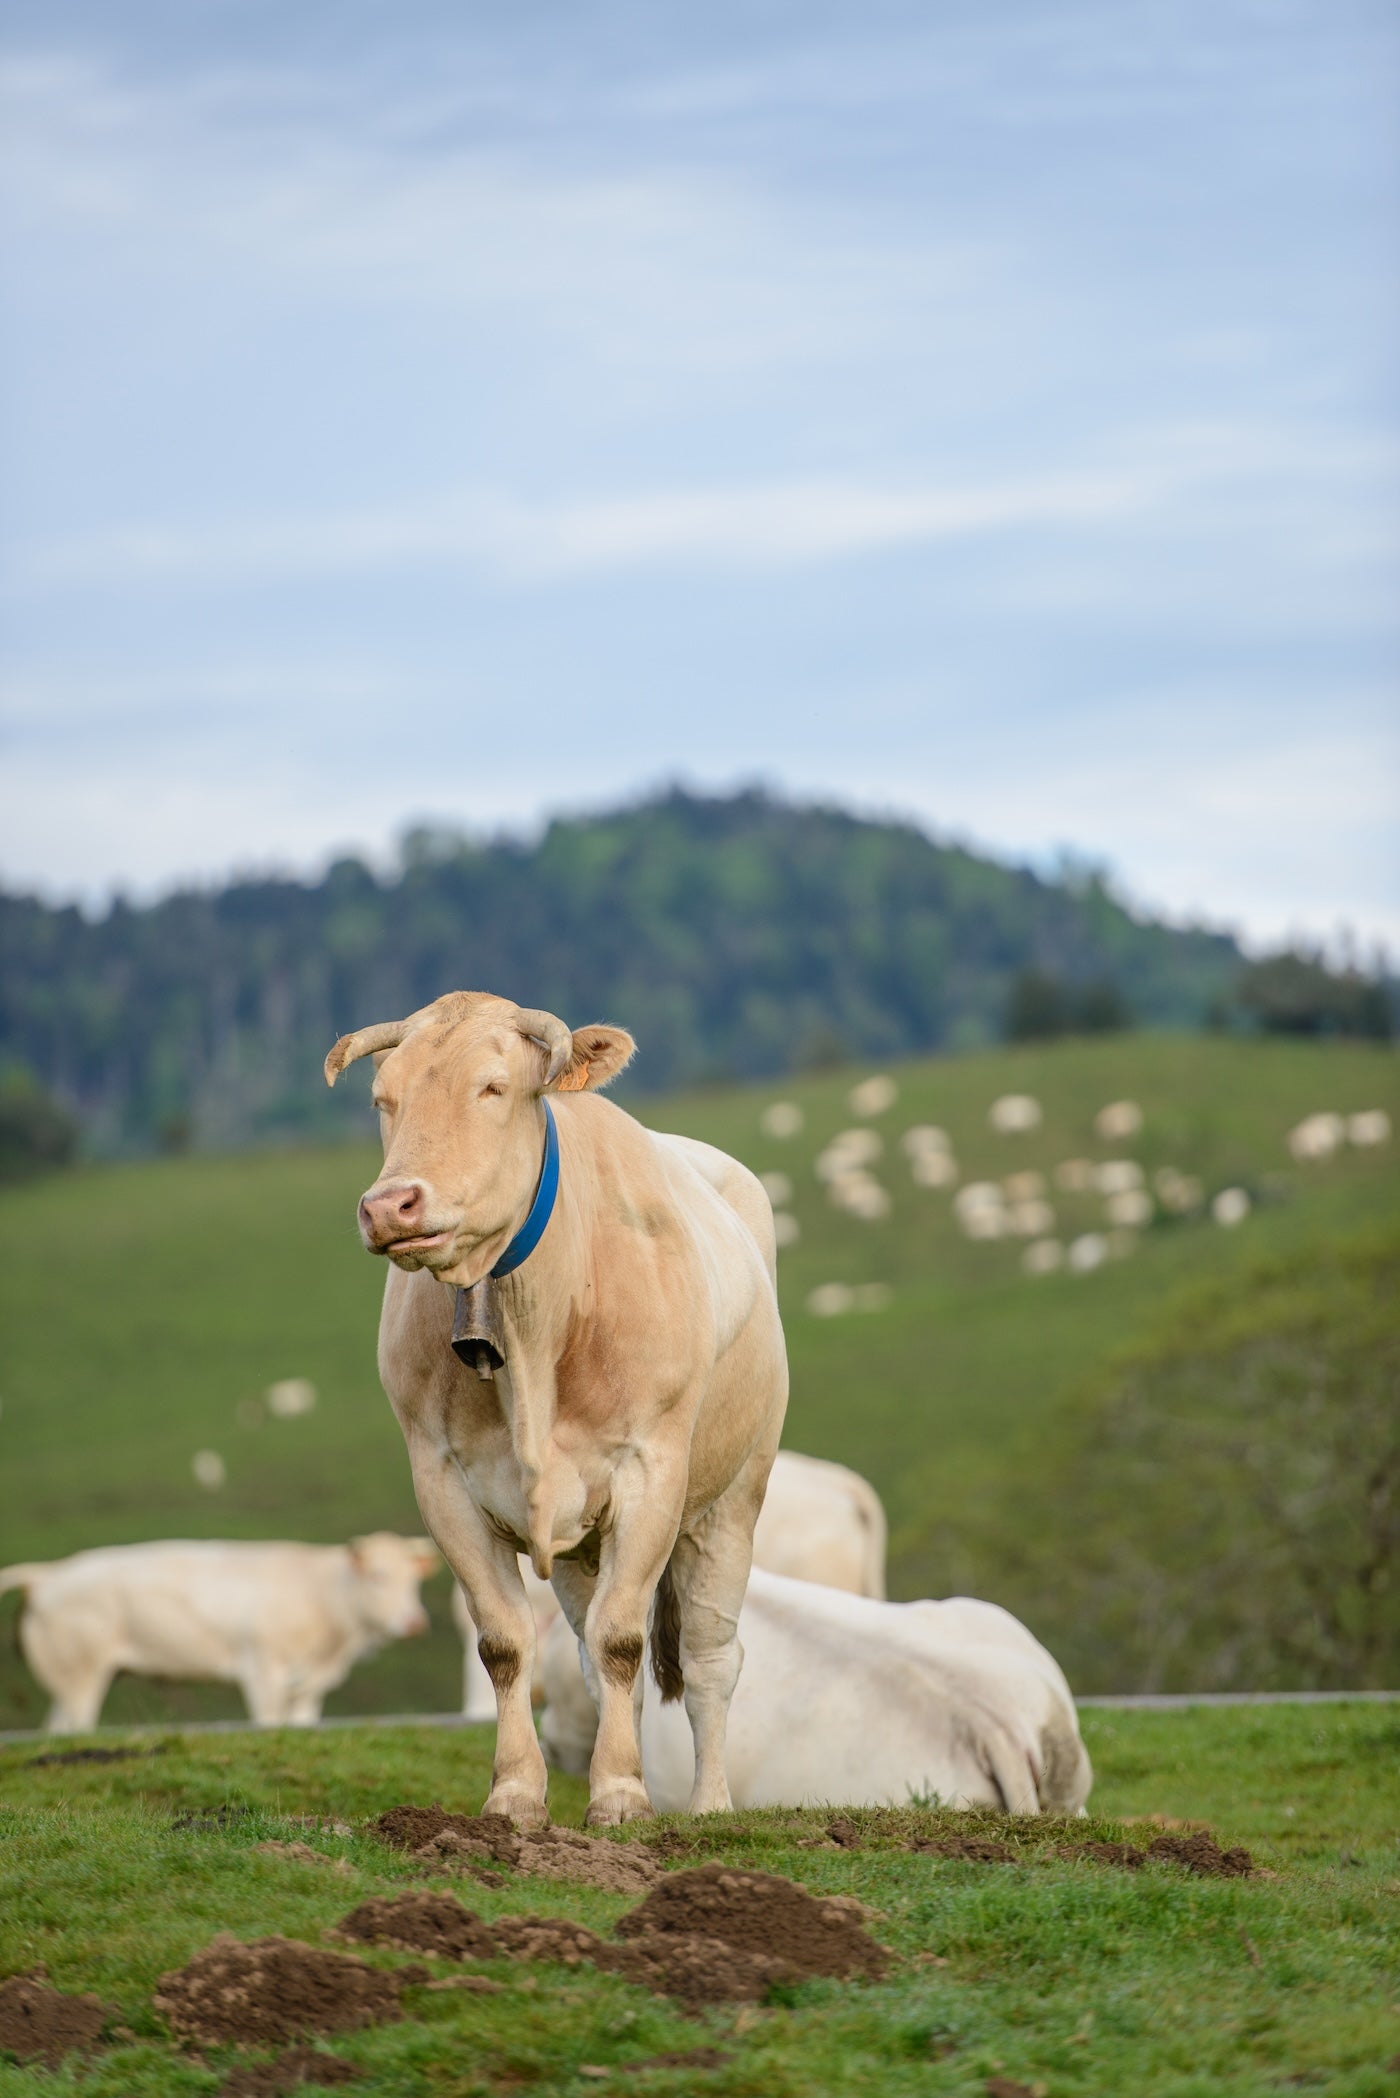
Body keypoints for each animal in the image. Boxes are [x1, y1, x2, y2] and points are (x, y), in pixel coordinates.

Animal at [1, 1535, 438, 1728]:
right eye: (379, 1576)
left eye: (415, 1580)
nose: (415, 1622)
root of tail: (48, 1574)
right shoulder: (263, 1671)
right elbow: (268, 1724)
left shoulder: (312, 1685)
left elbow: (301, 1723)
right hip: (81, 1676)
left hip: (68, 1680)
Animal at [329, 986, 789, 1821]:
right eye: (385, 1099)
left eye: (492, 1087)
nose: (391, 1206)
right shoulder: (441, 1482)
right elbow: (510, 1644)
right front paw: (518, 1793)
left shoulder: (652, 1473)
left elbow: (623, 1640)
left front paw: (620, 1797)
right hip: (583, 1547)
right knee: (594, 1655)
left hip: (733, 1499)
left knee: (708, 1657)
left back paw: (708, 1803)